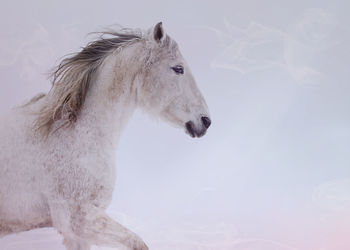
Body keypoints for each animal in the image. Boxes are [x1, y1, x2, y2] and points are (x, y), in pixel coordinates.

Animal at [0, 23, 211, 250]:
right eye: (178, 68)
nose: (206, 121)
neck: (75, 132)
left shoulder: (78, 232)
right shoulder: (78, 219)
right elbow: (137, 242)